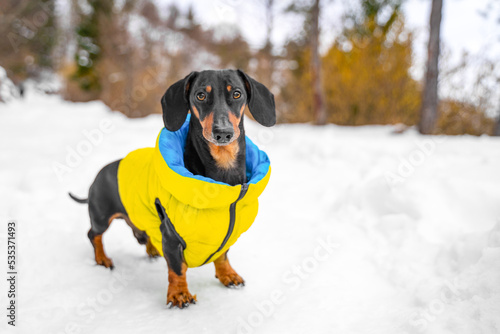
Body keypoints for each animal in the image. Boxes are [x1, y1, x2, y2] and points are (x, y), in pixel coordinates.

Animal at [69, 69, 276, 310]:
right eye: (200, 95)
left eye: (236, 93)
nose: (222, 133)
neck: (222, 179)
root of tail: (97, 177)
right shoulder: (171, 235)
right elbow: (177, 268)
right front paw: (179, 294)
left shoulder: (222, 235)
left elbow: (222, 255)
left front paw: (228, 275)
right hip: (101, 217)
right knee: (93, 235)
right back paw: (102, 259)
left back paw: (150, 249)